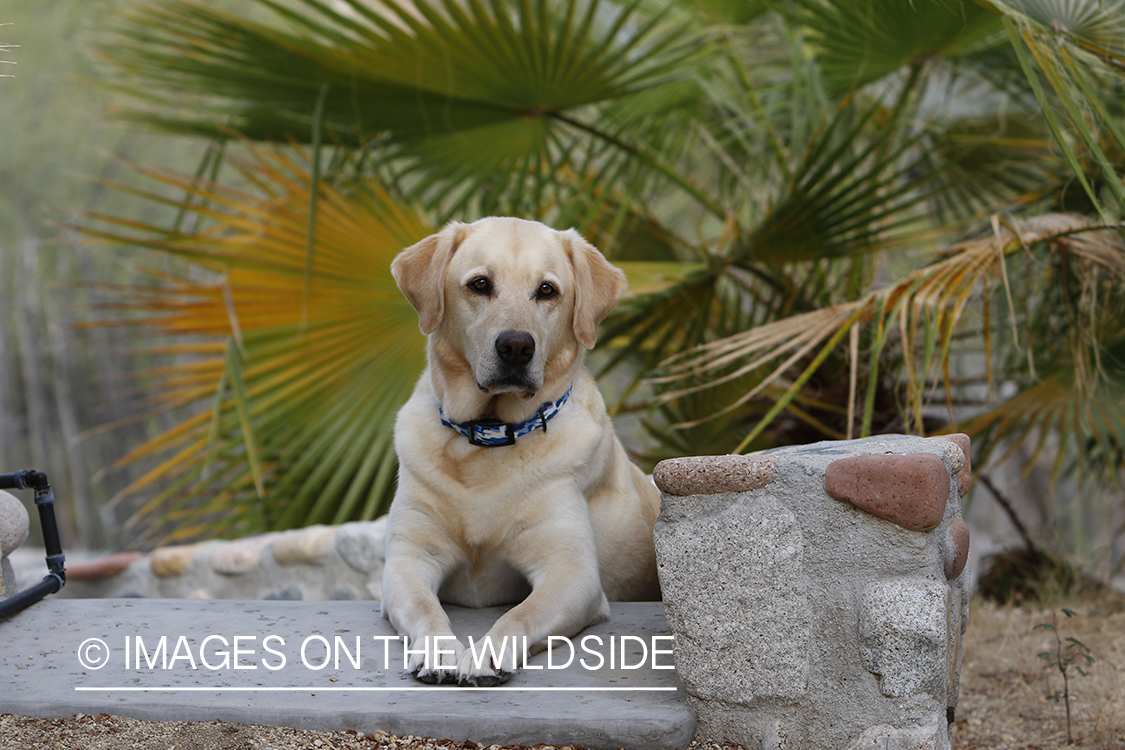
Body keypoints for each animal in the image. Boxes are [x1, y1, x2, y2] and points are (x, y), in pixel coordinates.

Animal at [382, 215, 657, 688]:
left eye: (547, 290)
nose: (515, 346)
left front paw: (486, 653)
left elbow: (520, 614)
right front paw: (439, 649)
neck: (489, 436)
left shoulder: (571, 571)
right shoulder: (408, 558)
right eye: (479, 284)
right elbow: (424, 606)